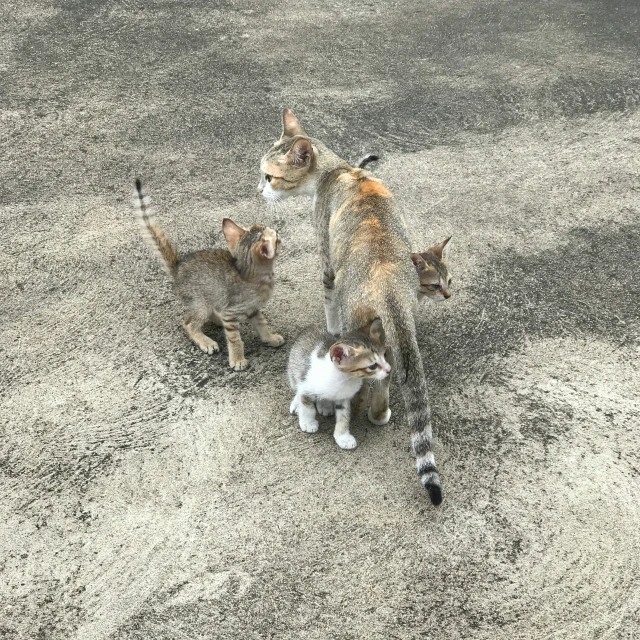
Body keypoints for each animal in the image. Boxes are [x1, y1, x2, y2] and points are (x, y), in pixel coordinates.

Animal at [132, 179, 282, 370]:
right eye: (276, 238)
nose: (278, 231)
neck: (249, 274)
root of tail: (177, 266)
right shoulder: (232, 311)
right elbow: (235, 339)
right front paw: (237, 359)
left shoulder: (253, 309)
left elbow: (262, 324)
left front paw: (270, 338)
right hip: (201, 303)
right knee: (189, 323)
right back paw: (205, 341)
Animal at [288, 320, 390, 450]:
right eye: (373, 366)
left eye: (385, 354)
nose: (389, 369)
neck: (346, 379)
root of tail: (310, 327)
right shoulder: (306, 386)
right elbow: (307, 407)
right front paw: (308, 422)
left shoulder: (344, 398)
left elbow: (344, 418)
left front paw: (343, 437)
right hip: (294, 371)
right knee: (297, 388)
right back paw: (298, 404)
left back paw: (325, 405)